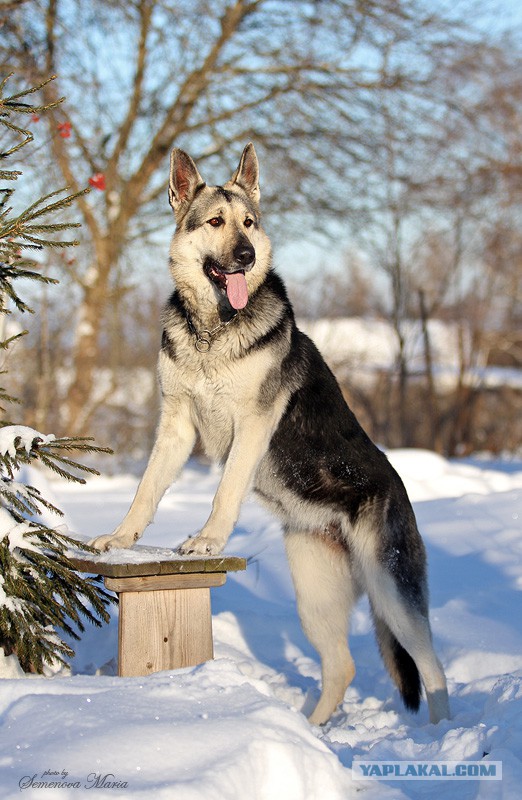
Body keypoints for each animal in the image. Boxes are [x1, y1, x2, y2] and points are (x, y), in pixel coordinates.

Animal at [91, 142, 448, 724]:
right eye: (215, 222)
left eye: (249, 224)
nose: (246, 257)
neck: (213, 330)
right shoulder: (176, 426)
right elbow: (146, 490)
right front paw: (121, 538)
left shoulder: (252, 426)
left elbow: (226, 490)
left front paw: (208, 539)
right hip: (313, 593)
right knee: (342, 667)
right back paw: (312, 729)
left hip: (392, 595)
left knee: (433, 669)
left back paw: (437, 741)